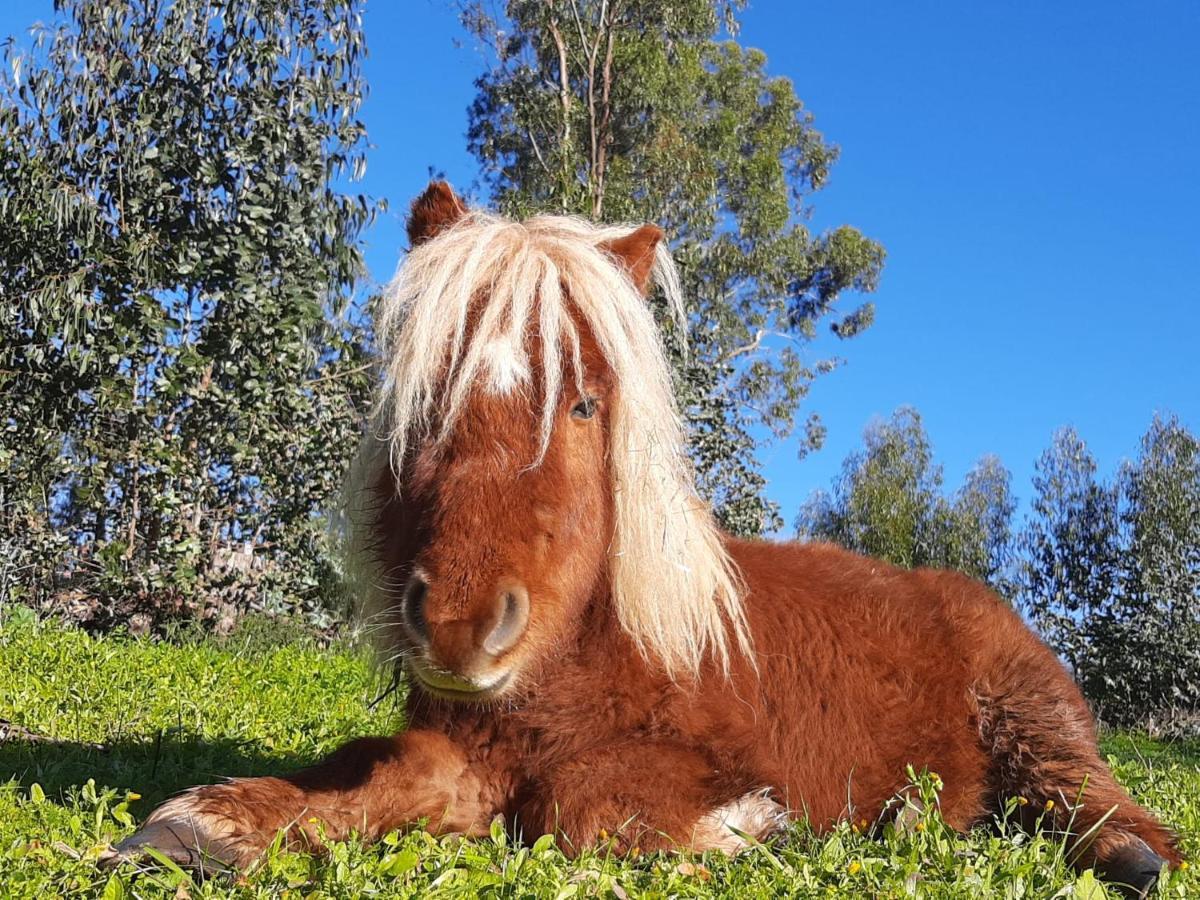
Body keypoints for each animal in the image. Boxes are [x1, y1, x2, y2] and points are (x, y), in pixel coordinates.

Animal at [110, 183, 1180, 900]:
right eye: (428, 397)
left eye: (584, 404)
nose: (460, 626)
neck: (591, 654)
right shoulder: (461, 745)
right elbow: (374, 771)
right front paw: (211, 822)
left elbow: (579, 807)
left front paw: (743, 829)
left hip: (1031, 711)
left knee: (1083, 795)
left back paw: (1115, 851)